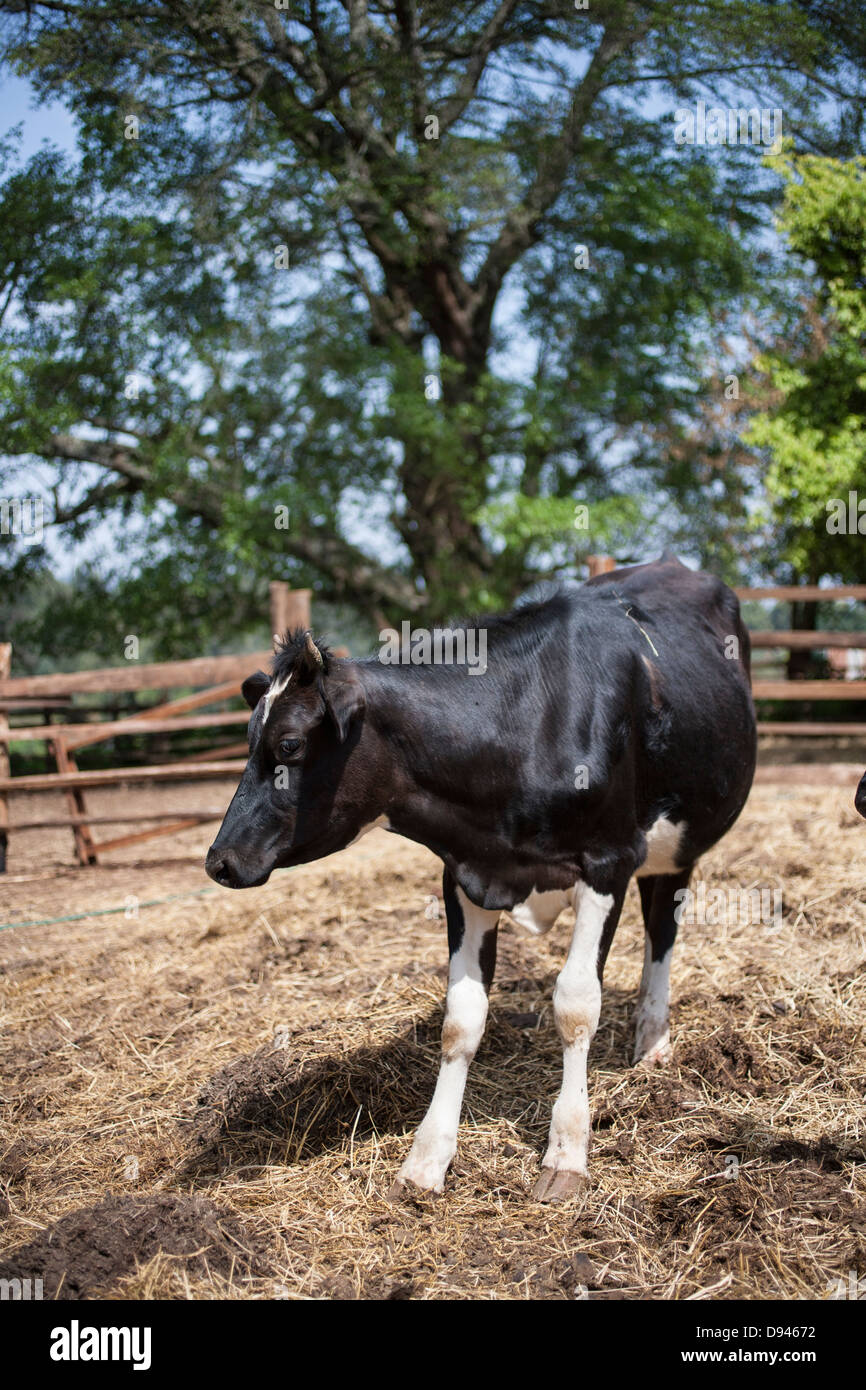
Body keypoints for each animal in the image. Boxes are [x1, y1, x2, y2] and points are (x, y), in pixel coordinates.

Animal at [207, 550, 756, 1195]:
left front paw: (567, 1152)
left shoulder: (609, 860)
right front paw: (426, 1159)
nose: (219, 860)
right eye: (249, 741)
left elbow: (576, 1003)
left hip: (678, 842)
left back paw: (653, 1040)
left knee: (662, 931)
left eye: (290, 746)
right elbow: (460, 1019)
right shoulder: (465, 873)